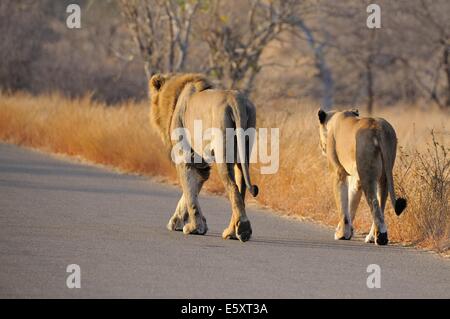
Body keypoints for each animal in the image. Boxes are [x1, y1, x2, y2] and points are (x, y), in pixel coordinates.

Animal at [149, 73, 258, 242]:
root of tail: (236, 100)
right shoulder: (201, 164)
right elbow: (191, 191)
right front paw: (180, 221)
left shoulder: (185, 156)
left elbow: (189, 193)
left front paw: (194, 227)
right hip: (243, 150)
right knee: (241, 188)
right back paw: (232, 232)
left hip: (223, 152)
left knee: (233, 188)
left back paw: (243, 230)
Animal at [316, 109, 408, 246]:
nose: (321, 147)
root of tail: (379, 128)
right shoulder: (356, 179)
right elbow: (351, 203)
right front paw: (347, 232)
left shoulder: (338, 172)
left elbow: (343, 204)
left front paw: (341, 234)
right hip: (385, 174)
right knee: (381, 203)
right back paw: (372, 237)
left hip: (367, 174)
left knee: (374, 204)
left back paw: (381, 237)